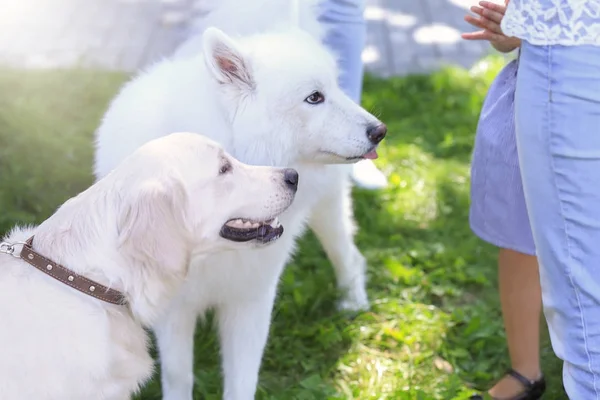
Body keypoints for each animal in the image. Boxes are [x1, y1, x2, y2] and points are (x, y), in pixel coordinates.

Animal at [91, 1, 386, 398]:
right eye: (314, 97)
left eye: (338, 87)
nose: (380, 131)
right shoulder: (174, 311)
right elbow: (179, 376)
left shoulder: (251, 299)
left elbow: (243, 379)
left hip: (328, 207)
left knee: (349, 255)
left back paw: (354, 304)